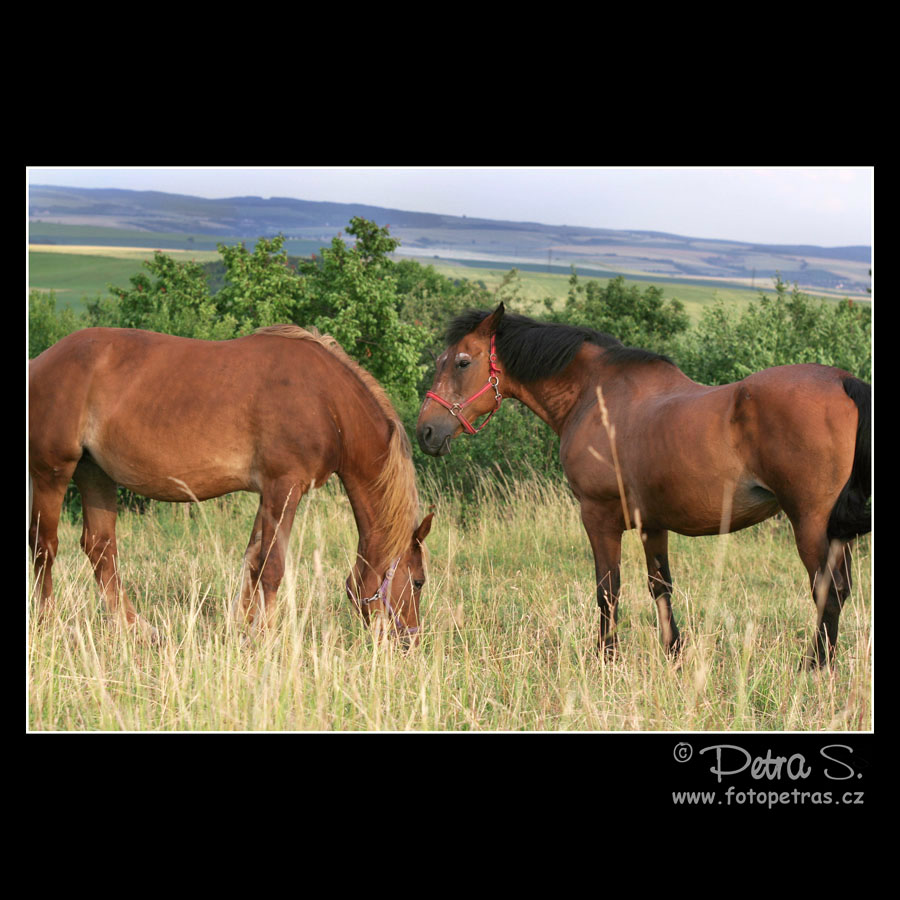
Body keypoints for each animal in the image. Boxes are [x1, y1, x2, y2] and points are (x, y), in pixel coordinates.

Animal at [28, 326, 432, 644]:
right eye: (418, 582)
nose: (411, 641)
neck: (327, 402)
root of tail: (40, 363)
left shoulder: (268, 494)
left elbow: (253, 560)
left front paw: (244, 629)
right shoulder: (285, 487)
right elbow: (272, 566)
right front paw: (265, 636)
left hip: (94, 473)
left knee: (100, 547)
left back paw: (135, 628)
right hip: (52, 472)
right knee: (44, 546)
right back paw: (48, 625)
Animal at [416, 306, 872, 664]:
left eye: (461, 362)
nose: (426, 432)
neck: (595, 396)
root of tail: (843, 382)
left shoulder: (598, 515)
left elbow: (608, 588)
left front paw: (606, 656)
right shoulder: (654, 523)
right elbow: (660, 586)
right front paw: (674, 653)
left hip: (810, 523)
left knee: (828, 592)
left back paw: (813, 667)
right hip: (834, 533)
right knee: (840, 591)